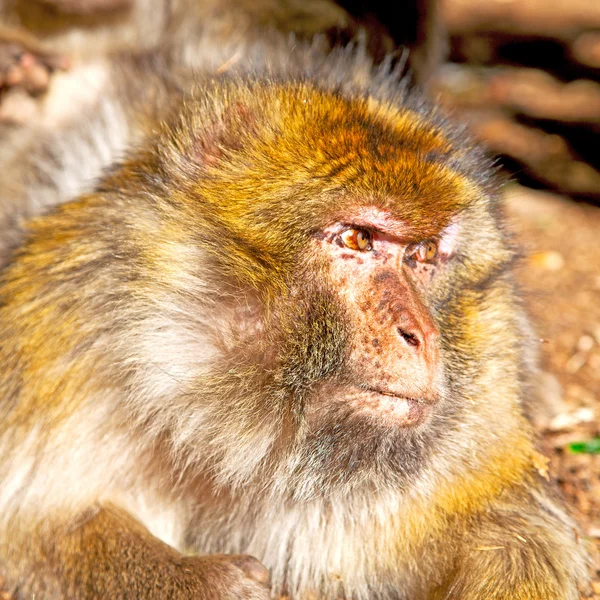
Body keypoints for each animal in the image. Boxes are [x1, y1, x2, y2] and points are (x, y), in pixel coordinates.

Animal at [0, 4, 592, 600]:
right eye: (357, 239)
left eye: (424, 254)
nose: (421, 335)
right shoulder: (71, 354)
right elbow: (31, 532)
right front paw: (207, 581)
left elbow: (518, 534)